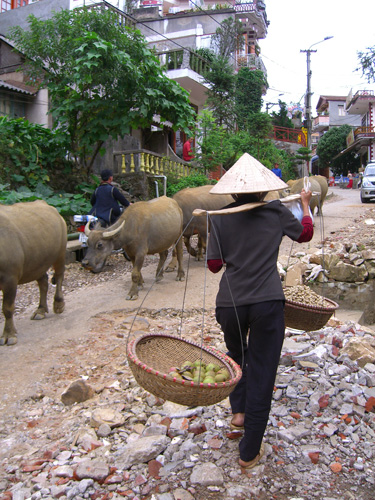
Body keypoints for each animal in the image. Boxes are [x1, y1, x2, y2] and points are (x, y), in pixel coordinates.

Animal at [0, 199, 67, 344]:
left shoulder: (10, 279)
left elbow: (7, 308)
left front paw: (8, 335)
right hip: (39, 260)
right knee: (43, 282)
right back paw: (40, 310)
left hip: (60, 252)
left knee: (59, 276)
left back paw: (58, 304)